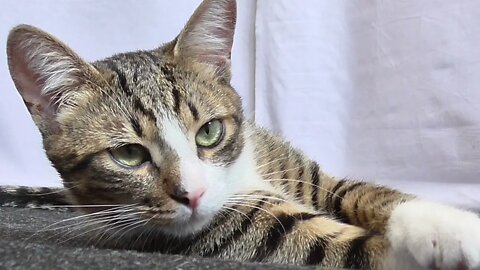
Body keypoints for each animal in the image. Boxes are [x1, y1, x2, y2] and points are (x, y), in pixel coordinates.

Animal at [3, 0, 480, 270]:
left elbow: (364, 193)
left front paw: (448, 226)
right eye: (129, 155)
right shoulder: (238, 231)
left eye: (210, 132)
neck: (241, 172)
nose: (192, 193)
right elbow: (342, 245)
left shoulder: (305, 173)